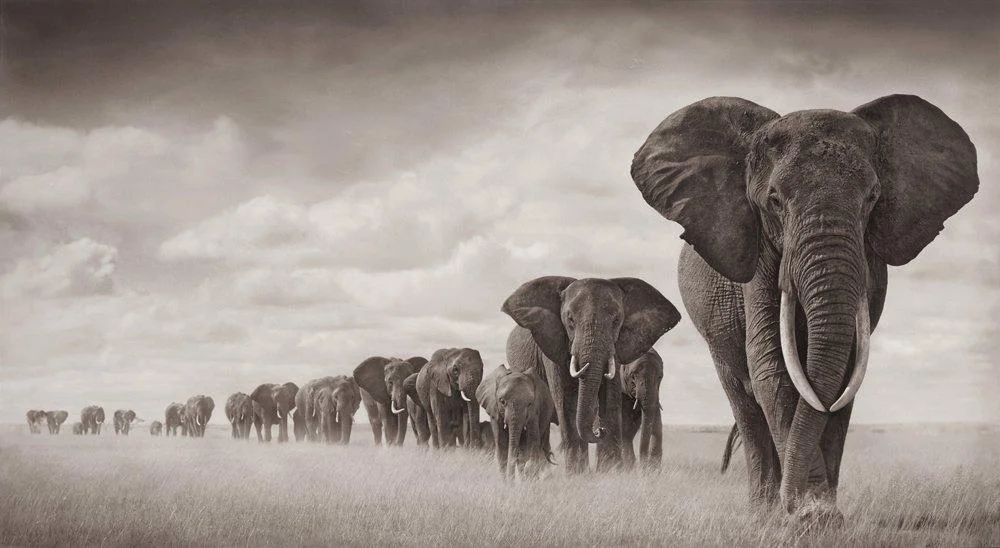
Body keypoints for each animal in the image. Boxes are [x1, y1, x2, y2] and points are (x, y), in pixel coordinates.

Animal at [503, 277, 681, 473]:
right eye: (570, 319)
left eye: (616, 320)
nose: (599, 430)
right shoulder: (552, 344)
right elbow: (566, 400)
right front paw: (577, 474)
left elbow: (609, 396)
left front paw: (610, 471)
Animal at [630, 94, 979, 521]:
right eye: (775, 199)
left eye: (872, 198)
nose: (796, 506)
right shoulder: (759, 252)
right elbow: (772, 367)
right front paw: (809, 517)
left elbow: (845, 373)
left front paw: (820, 514)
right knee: (744, 401)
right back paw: (762, 511)